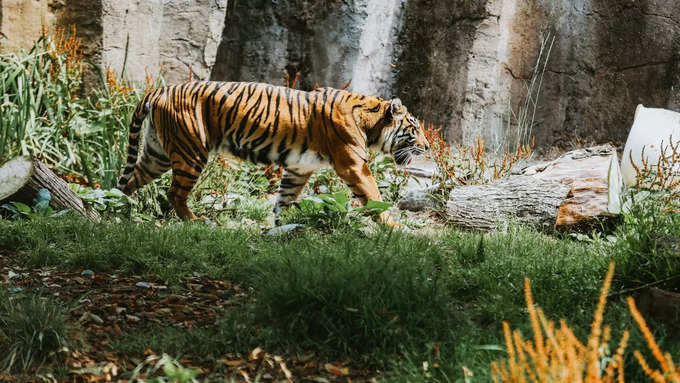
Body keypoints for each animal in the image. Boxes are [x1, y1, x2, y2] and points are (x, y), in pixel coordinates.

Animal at [116, 82, 424, 225]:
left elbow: (284, 198)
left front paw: (279, 225)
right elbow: (374, 196)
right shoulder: (353, 165)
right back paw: (195, 221)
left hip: (157, 153)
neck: (371, 122)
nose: (428, 146)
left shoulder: (299, 168)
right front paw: (393, 227)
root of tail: (159, 90)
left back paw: (118, 210)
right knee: (174, 193)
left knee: (129, 181)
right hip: (191, 151)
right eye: (415, 128)